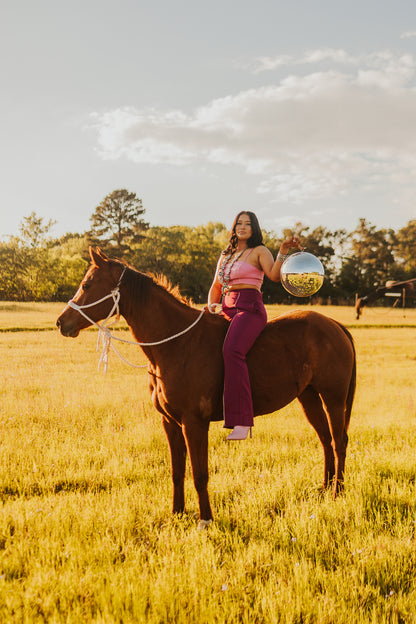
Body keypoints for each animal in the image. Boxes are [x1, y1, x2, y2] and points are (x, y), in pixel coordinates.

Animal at [57, 249, 356, 528]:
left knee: (339, 440)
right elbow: (177, 472)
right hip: (309, 398)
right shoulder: (170, 423)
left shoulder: (194, 424)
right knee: (325, 439)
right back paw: (325, 487)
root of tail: (334, 325)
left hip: (334, 398)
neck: (177, 344)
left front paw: (205, 519)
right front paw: (177, 513)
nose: (61, 322)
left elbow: (199, 474)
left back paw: (337, 492)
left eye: (86, 284)